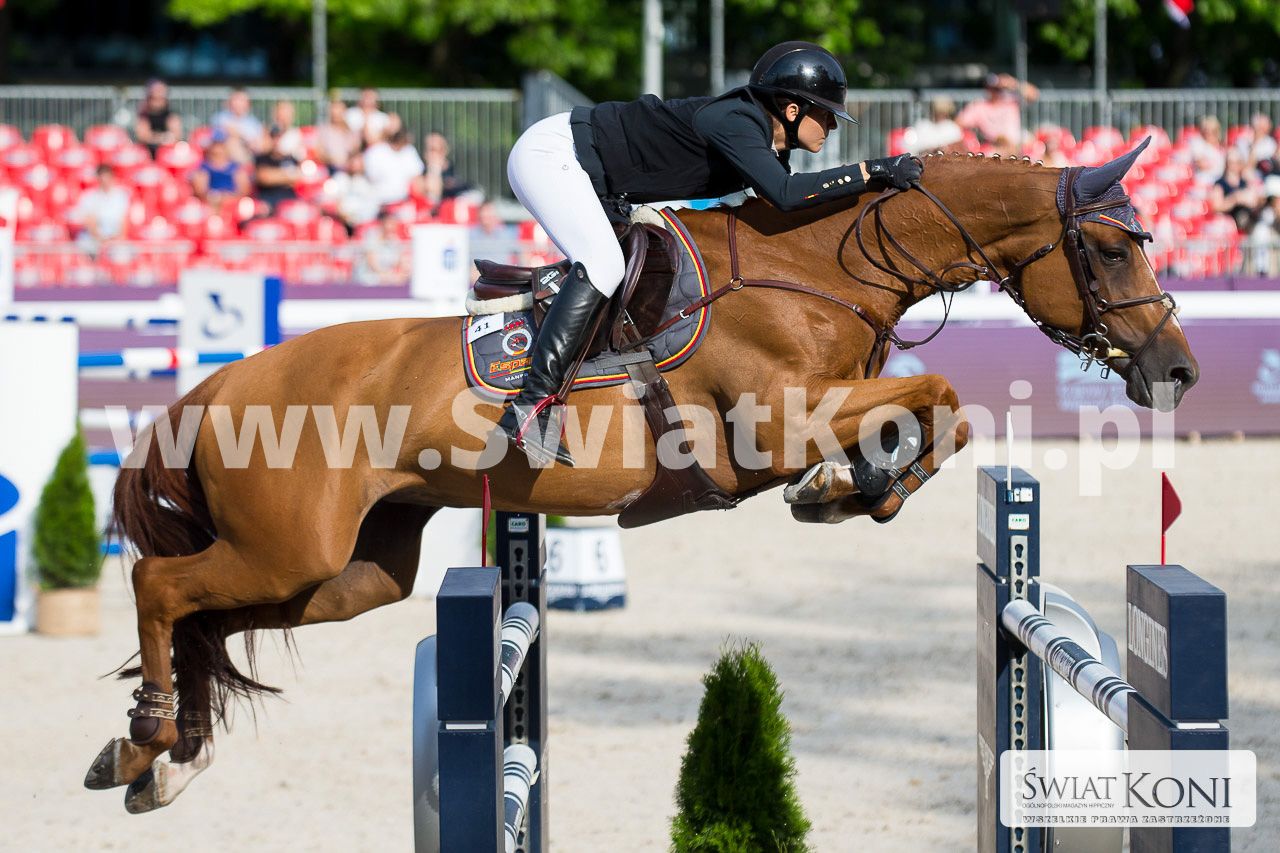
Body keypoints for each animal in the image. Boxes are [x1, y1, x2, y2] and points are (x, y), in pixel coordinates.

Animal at [84, 142, 1198, 813]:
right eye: (1111, 247)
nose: (1176, 371)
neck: (820, 266)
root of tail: (221, 382)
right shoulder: (771, 423)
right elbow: (937, 393)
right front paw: (843, 488)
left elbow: (939, 411)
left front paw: (859, 489)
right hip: (291, 547)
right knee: (160, 586)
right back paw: (144, 745)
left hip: (347, 573)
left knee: (208, 618)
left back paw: (167, 754)